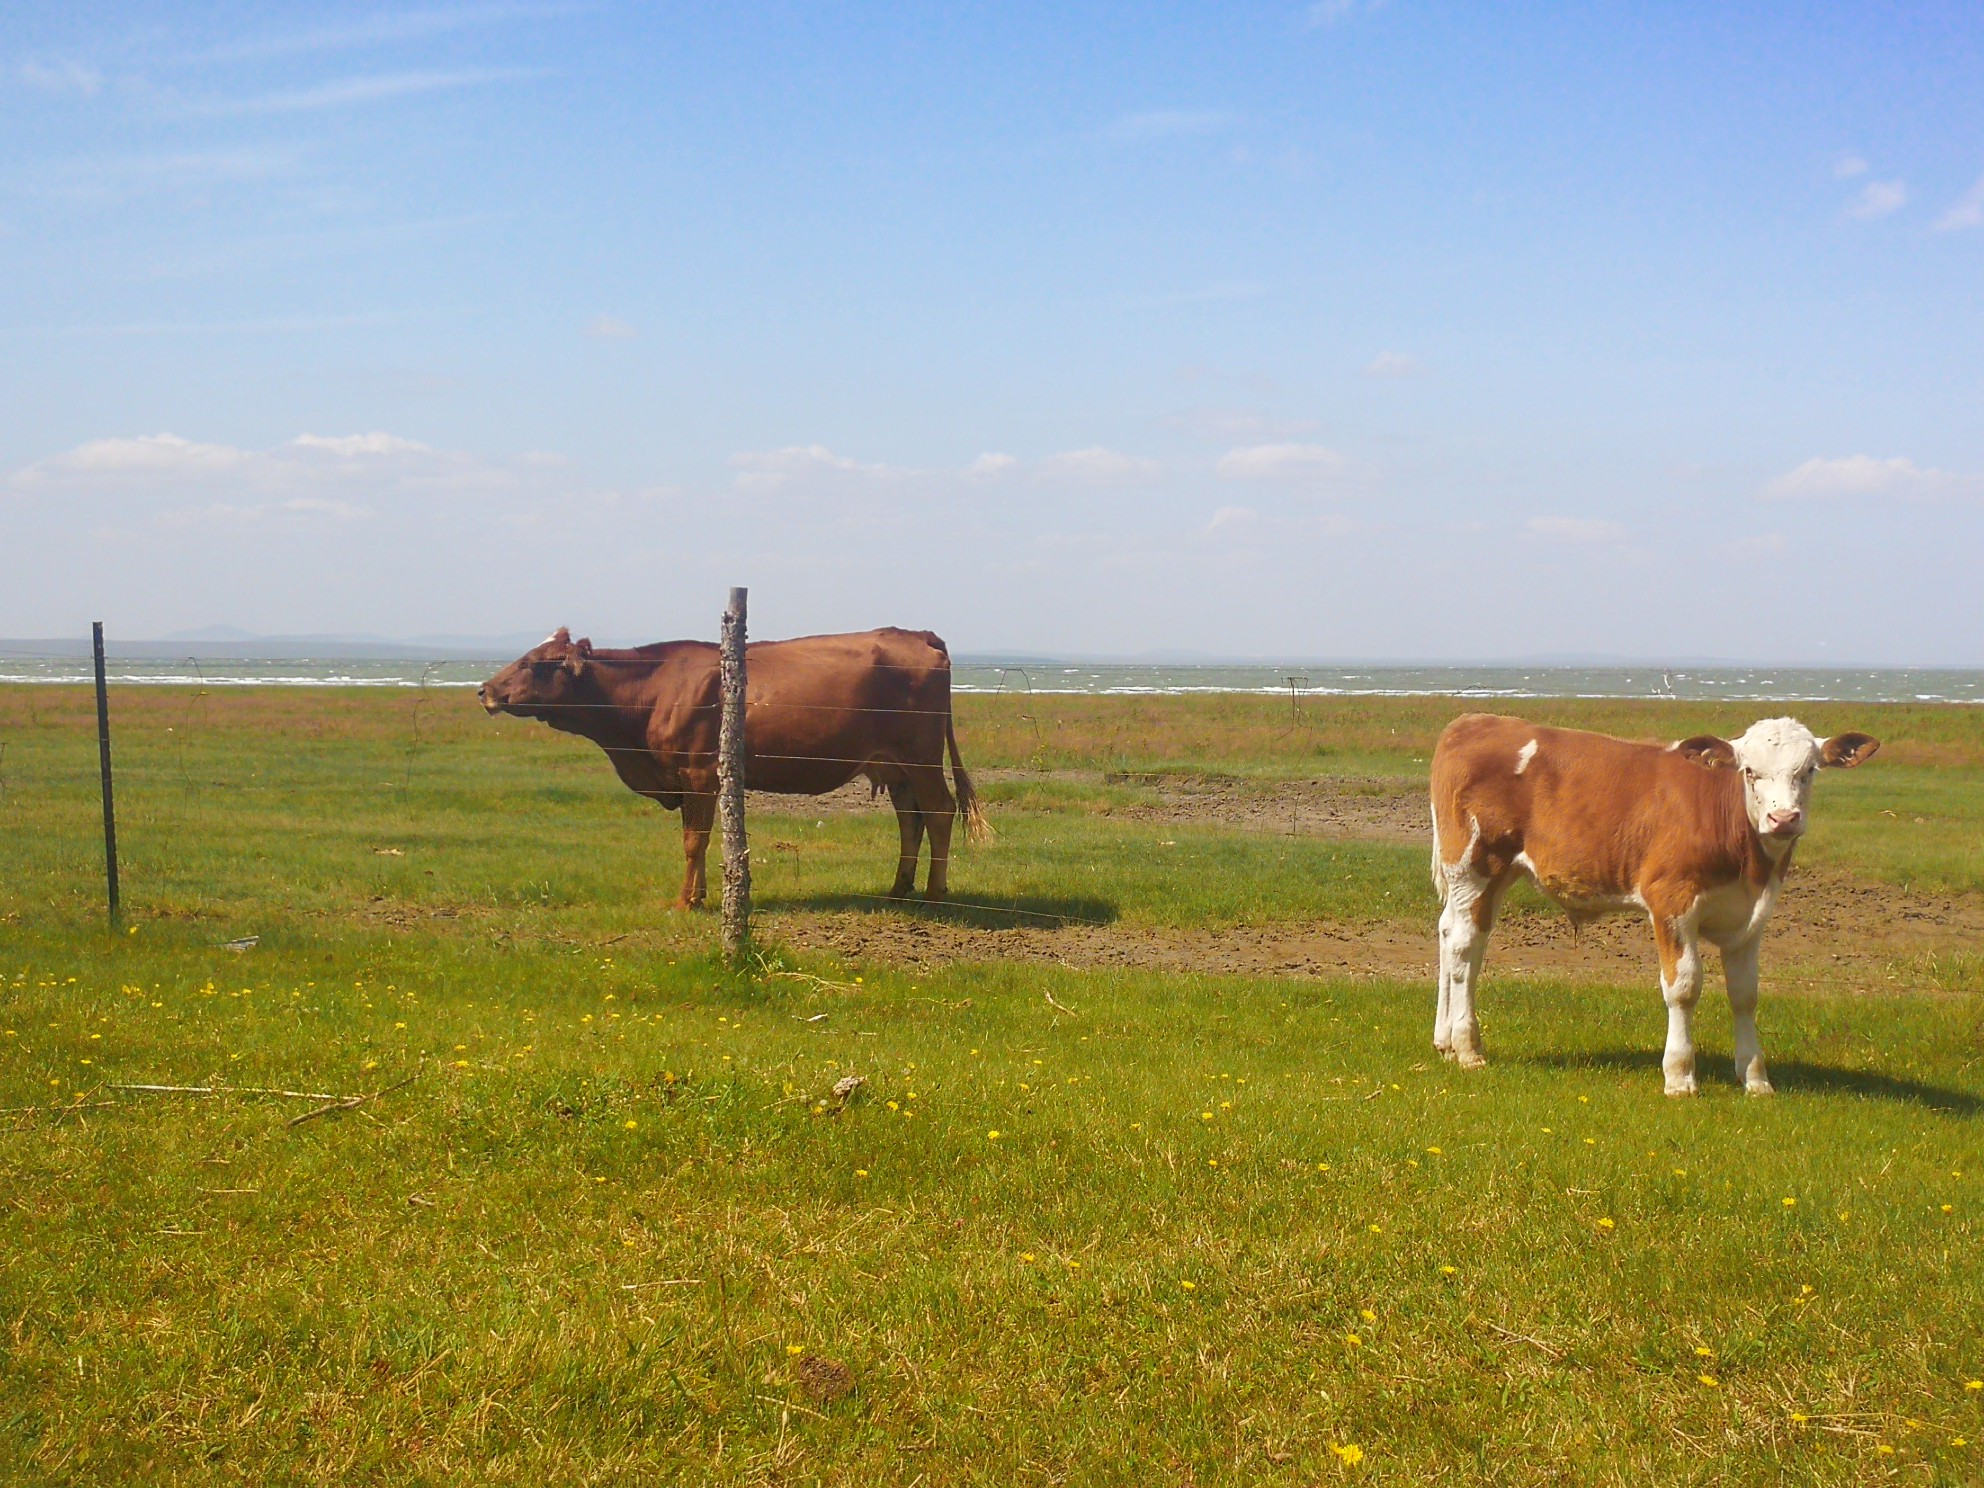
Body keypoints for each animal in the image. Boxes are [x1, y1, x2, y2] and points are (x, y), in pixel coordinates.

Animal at [482, 630, 992, 908]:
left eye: (535, 663)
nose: (485, 690)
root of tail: (915, 634)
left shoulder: (699, 773)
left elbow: (695, 840)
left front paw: (686, 900)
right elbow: (704, 840)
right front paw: (703, 894)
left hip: (921, 757)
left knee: (939, 812)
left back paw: (934, 893)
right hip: (894, 765)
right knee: (911, 819)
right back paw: (898, 888)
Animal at [1428, 718, 1872, 1103]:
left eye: (1809, 770)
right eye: (1749, 771)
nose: (1783, 818)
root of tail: (1472, 721)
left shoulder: (1750, 919)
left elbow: (1745, 995)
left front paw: (1755, 1077)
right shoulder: (1671, 902)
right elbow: (1683, 986)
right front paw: (1679, 1076)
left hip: (1491, 879)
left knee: (1456, 936)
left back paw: (1445, 1040)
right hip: (1474, 865)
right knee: (1464, 951)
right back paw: (1468, 1048)